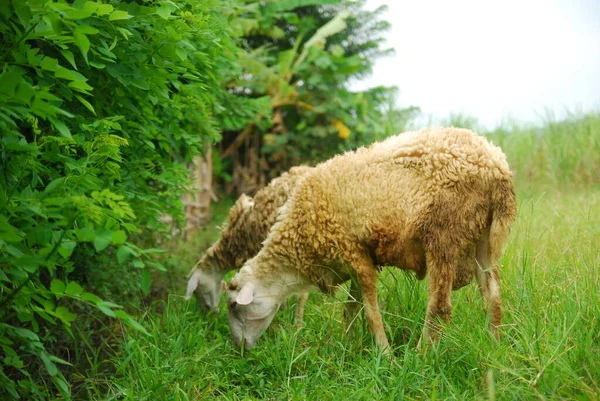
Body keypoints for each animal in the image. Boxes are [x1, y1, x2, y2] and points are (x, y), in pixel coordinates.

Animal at [225, 126, 516, 352]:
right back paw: (493, 346)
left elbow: (370, 310)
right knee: (493, 298)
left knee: (440, 307)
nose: (239, 350)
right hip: (484, 239)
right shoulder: (359, 256)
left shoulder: (352, 252)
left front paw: (384, 353)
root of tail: (496, 166)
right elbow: (351, 307)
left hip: (444, 234)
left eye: (233, 306)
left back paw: (421, 356)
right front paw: (346, 343)